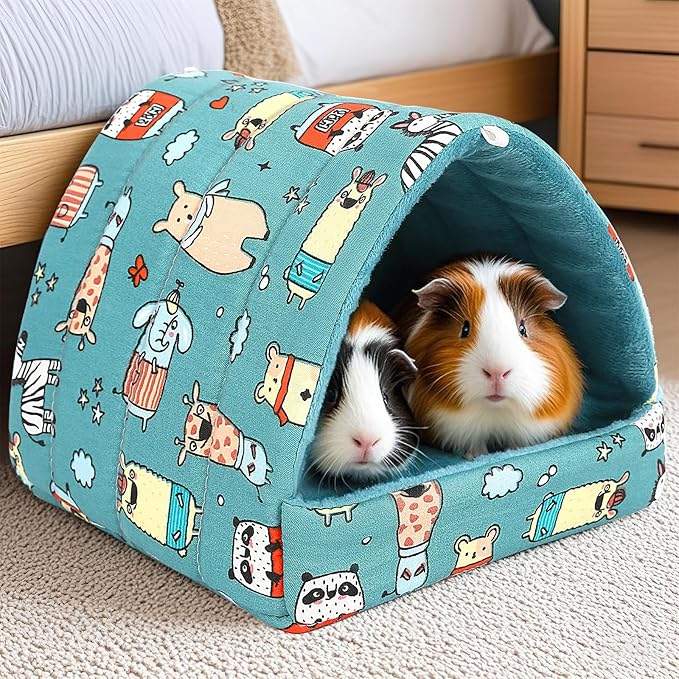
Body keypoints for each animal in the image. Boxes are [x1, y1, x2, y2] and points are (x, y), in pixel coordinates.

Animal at [397, 256, 584, 459]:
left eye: (522, 329)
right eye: (464, 329)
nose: (497, 373)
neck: (495, 411)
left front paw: (512, 451)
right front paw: (475, 455)